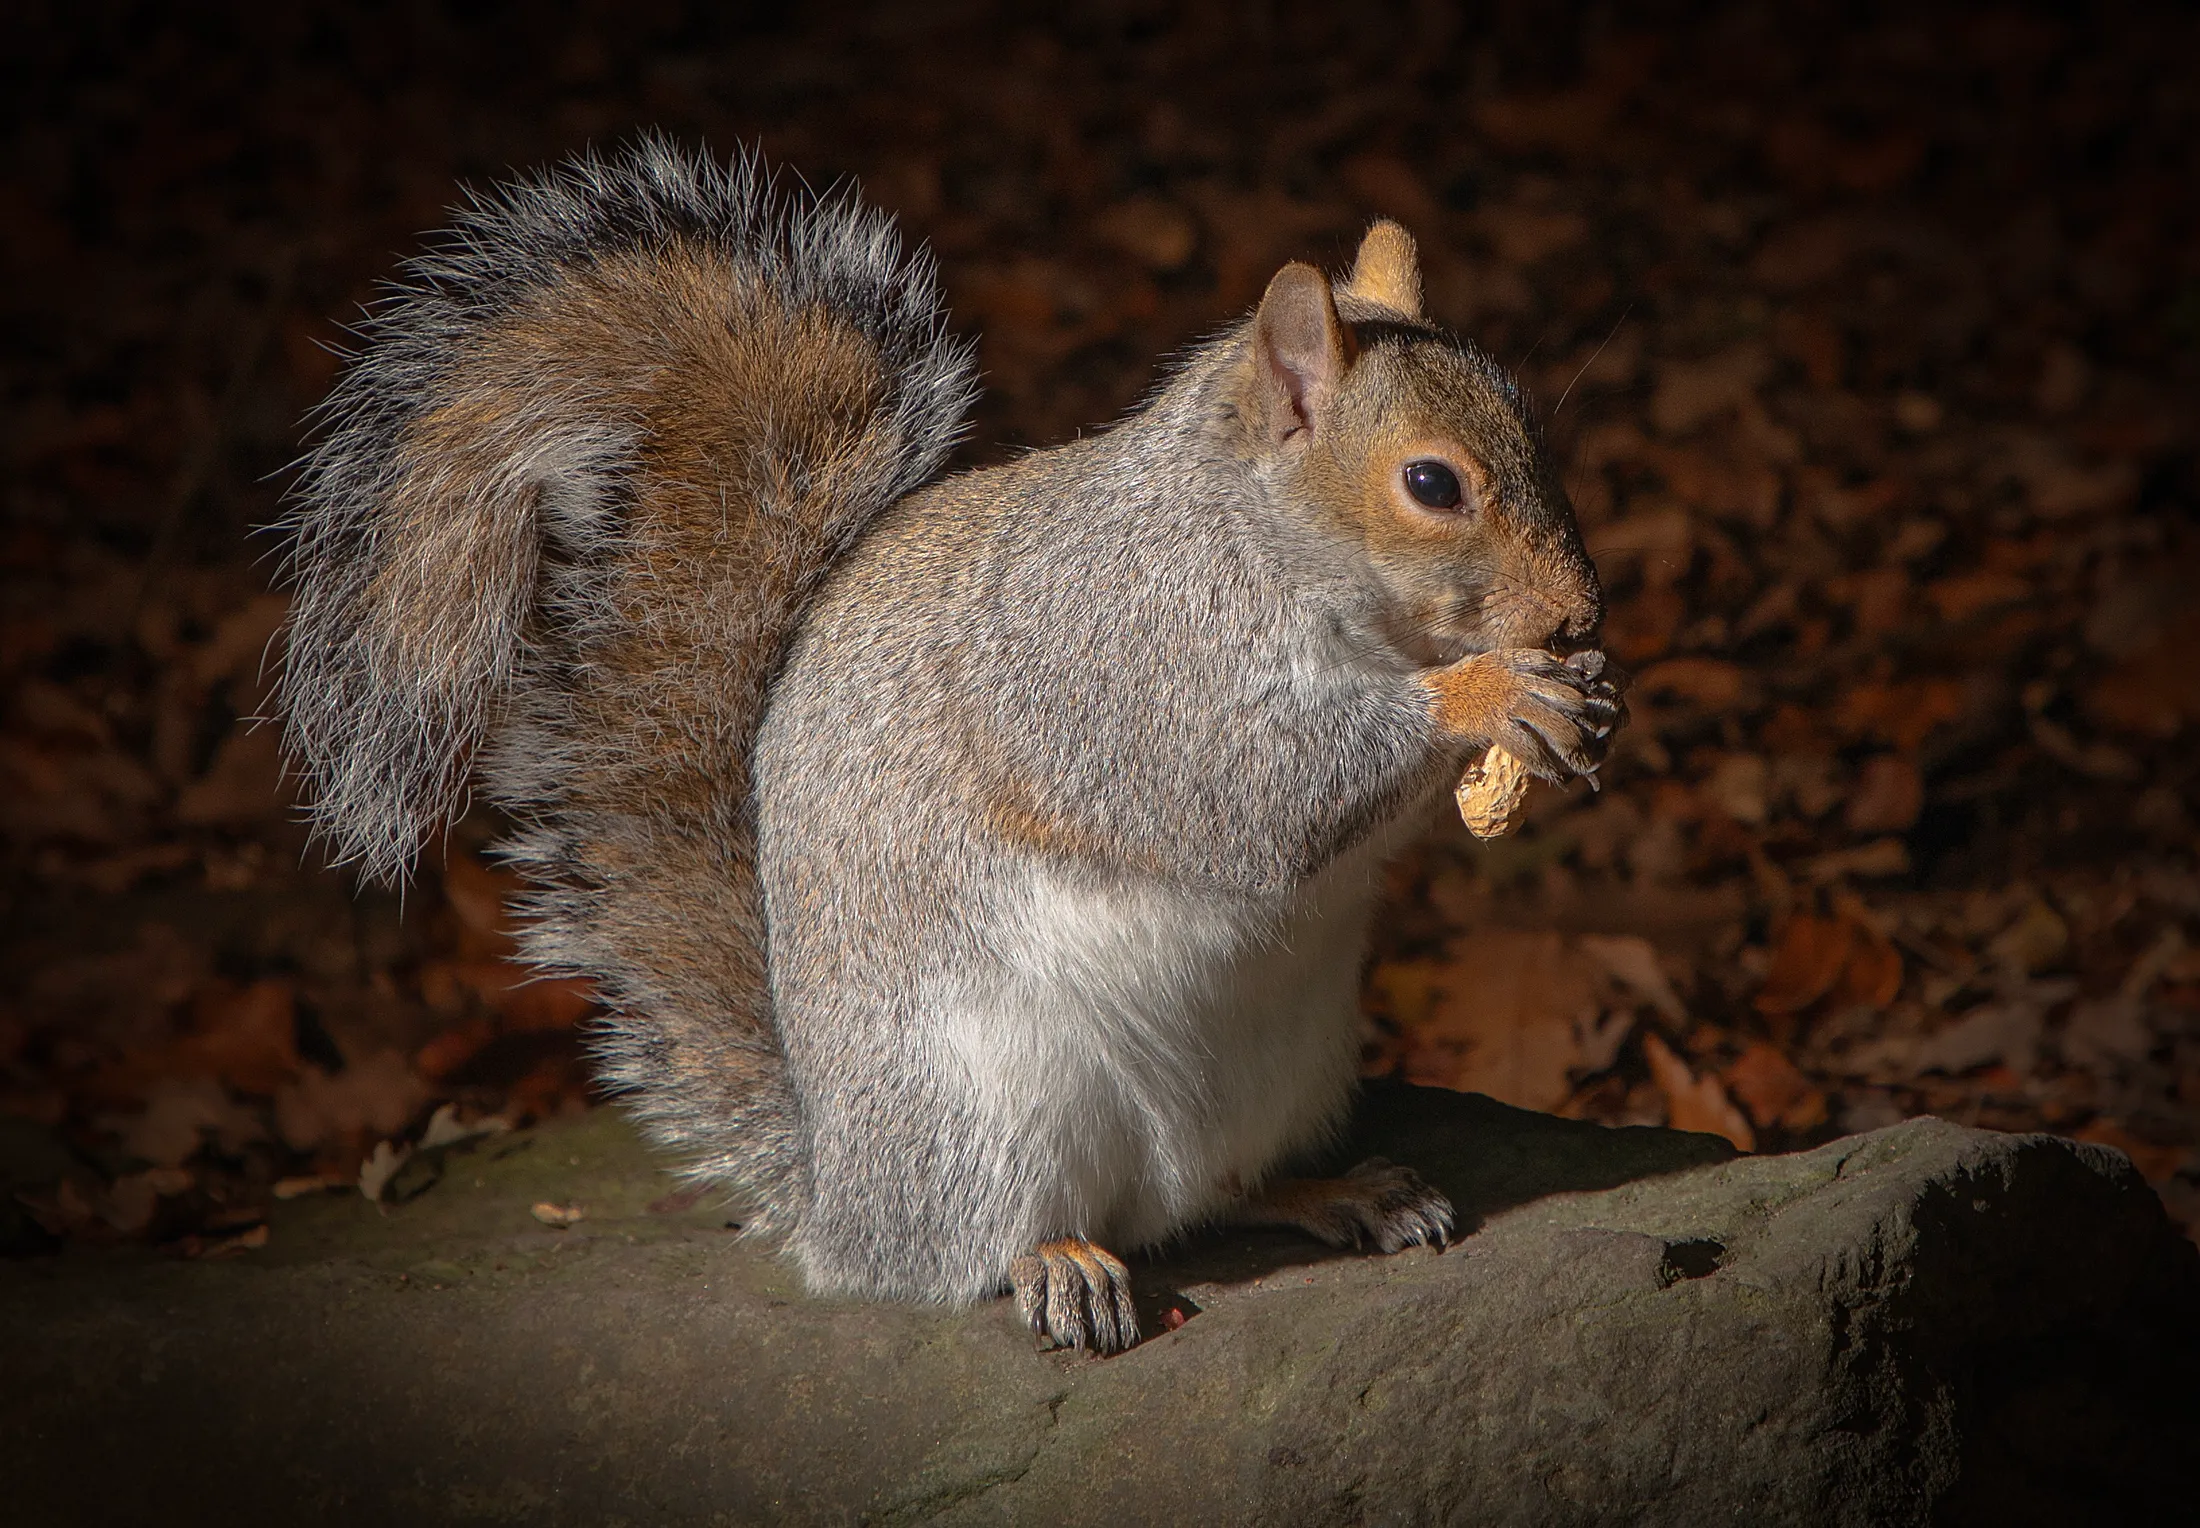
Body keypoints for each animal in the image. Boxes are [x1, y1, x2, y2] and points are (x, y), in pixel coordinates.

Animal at [278, 138, 1621, 1355]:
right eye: (1431, 484)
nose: (1577, 614)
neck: (1257, 536)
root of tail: (838, 1193)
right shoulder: (1127, 668)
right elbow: (1249, 789)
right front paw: (1488, 694)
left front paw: (1581, 703)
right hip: (986, 1099)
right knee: (983, 1245)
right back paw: (1059, 1261)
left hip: (1287, 1064)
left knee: (1218, 1195)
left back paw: (1340, 1190)